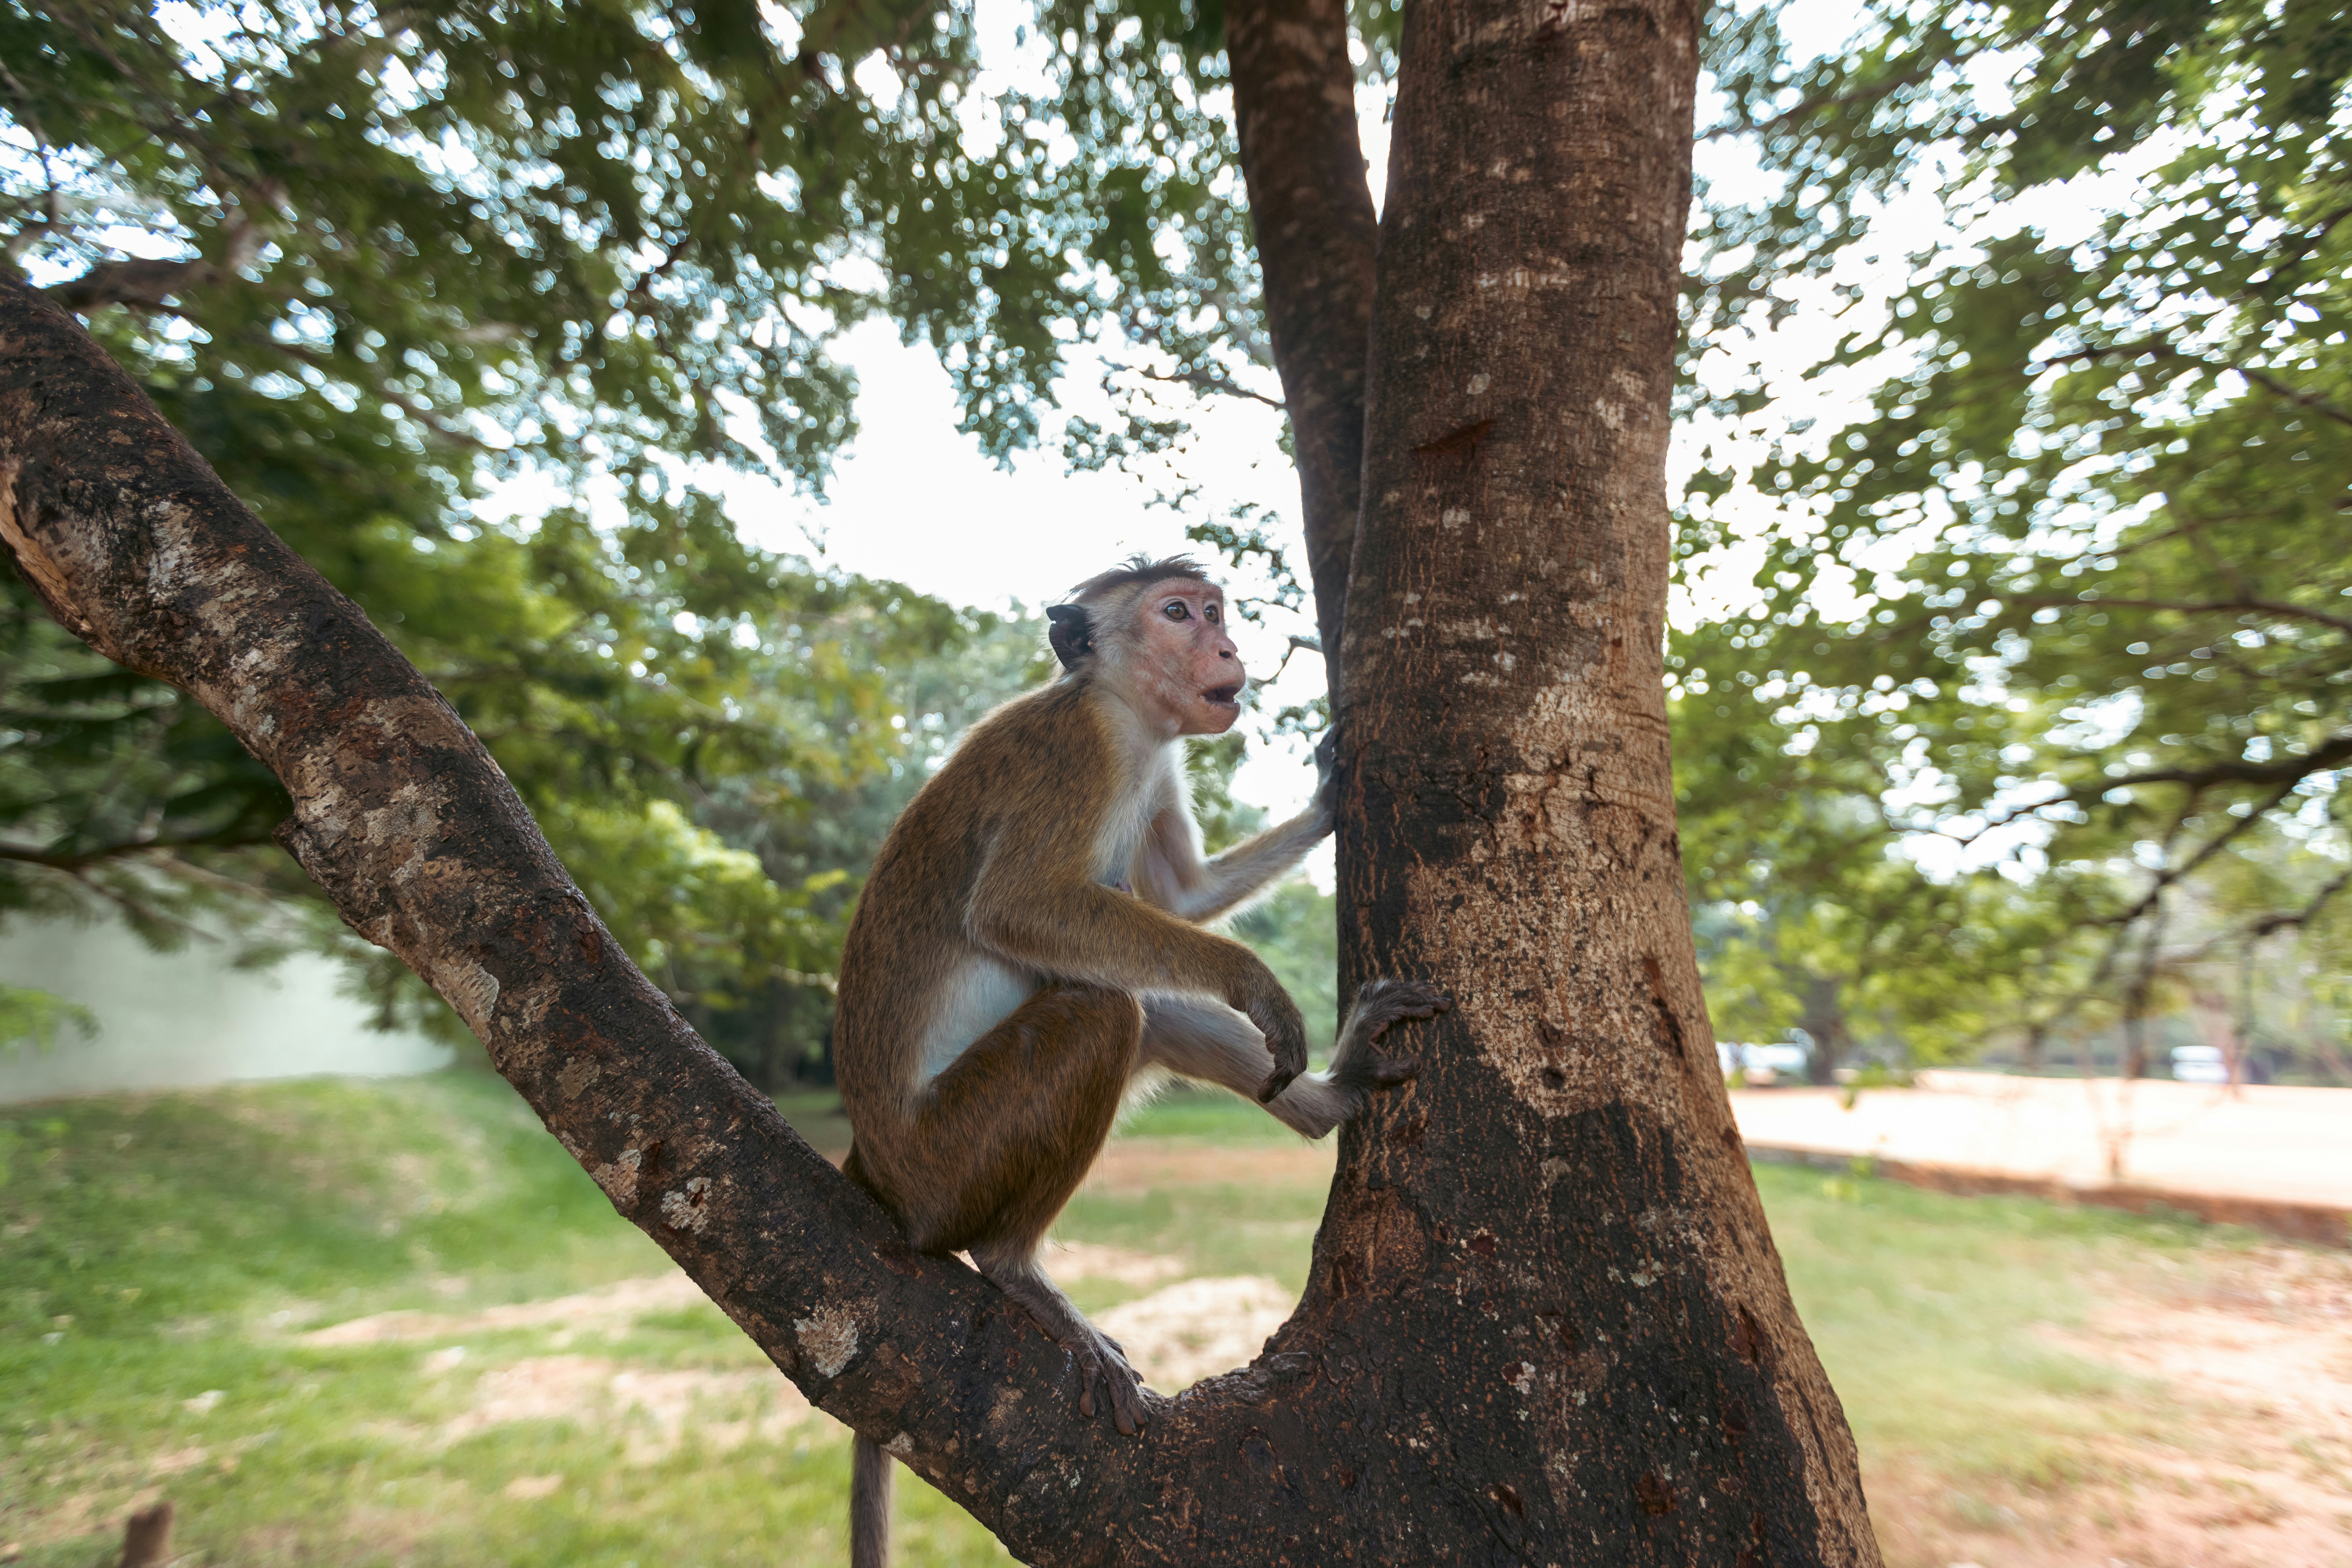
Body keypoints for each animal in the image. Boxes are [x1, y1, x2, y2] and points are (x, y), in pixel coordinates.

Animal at [830, 554, 1449, 1567]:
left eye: (1215, 611)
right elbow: (1017, 909)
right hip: (948, 1157)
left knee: (1141, 1000)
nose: (1228, 648)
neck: (1124, 712)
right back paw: (1014, 1268)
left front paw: (1325, 801)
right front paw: (1253, 977)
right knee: (1102, 1009)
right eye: (1177, 613)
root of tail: (873, 1165)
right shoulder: (1080, 756)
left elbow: (1184, 902)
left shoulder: (1155, 770)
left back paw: (1333, 1097)